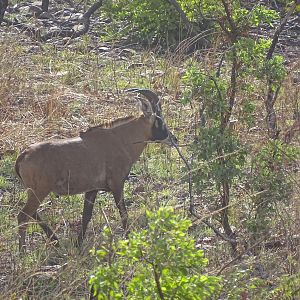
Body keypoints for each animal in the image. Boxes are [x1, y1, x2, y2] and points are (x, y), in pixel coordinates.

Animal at [15, 88, 176, 251]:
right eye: (159, 120)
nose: (174, 139)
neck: (121, 139)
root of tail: (23, 155)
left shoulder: (92, 190)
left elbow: (86, 216)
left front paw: (78, 244)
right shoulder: (117, 184)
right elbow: (123, 213)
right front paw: (129, 240)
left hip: (34, 192)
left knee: (32, 214)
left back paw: (56, 241)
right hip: (39, 191)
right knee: (23, 216)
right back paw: (23, 251)